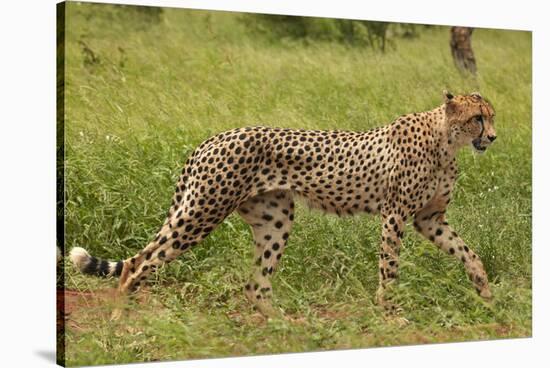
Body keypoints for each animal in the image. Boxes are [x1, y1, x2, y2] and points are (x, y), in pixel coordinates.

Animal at [71, 91, 498, 316]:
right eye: (478, 118)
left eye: (492, 117)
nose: (493, 138)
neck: (446, 140)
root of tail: (213, 138)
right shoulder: (394, 215)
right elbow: (389, 266)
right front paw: (389, 310)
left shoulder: (430, 218)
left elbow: (468, 252)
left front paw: (486, 292)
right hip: (203, 211)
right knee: (138, 263)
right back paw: (121, 318)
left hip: (274, 220)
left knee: (255, 284)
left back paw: (286, 325)